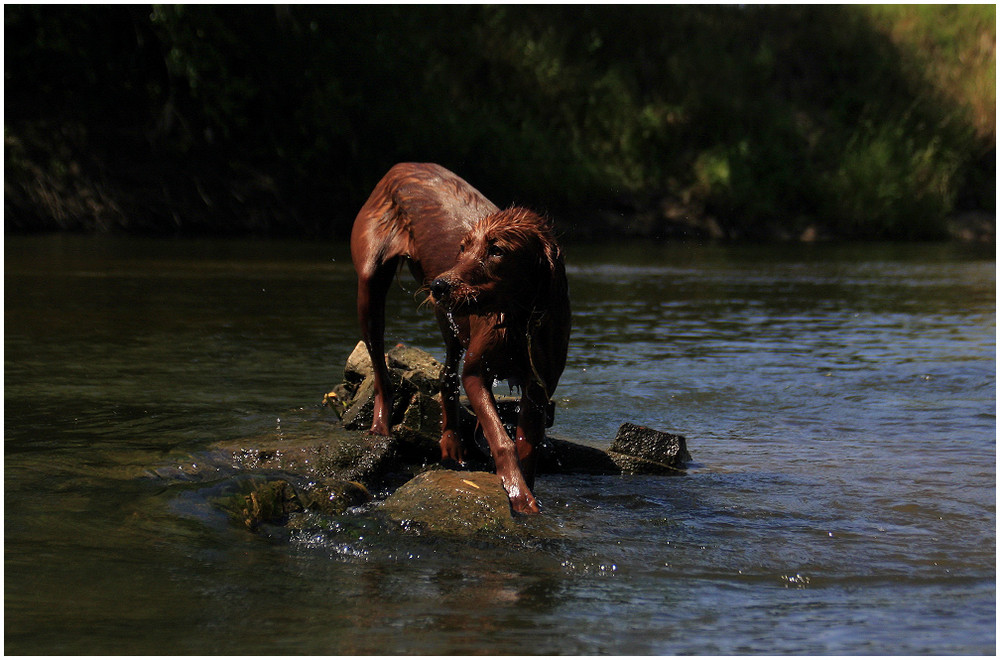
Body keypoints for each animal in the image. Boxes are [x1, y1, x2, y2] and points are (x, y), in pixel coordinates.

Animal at [352, 162, 572, 512]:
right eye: (463, 247)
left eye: (497, 250)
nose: (439, 285)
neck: (517, 319)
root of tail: (401, 166)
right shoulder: (476, 373)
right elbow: (502, 440)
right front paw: (517, 492)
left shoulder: (540, 386)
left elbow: (526, 445)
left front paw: (526, 494)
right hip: (371, 285)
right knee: (381, 372)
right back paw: (380, 427)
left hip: (450, 320)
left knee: (445, 376)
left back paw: (452, 442)